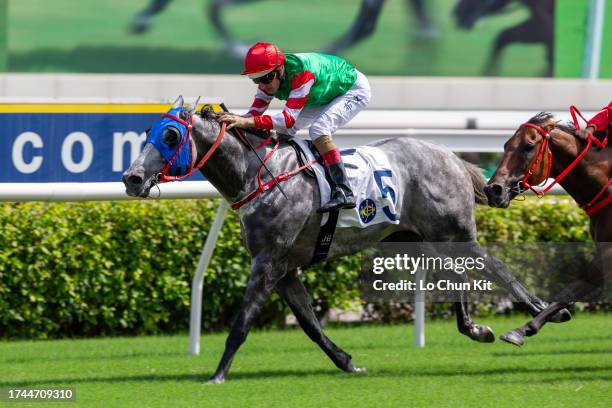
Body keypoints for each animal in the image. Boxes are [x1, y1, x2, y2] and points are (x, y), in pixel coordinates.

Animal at [123, 97, 568, 384]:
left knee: (496, 267)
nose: (131, 178)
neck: (260, 175)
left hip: (451, 232)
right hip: (415, 237)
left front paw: (216, 375)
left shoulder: (267, 261)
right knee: (457, 277)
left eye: (170, 136)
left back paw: (542, 312)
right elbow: (309, 324)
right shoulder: (284, 268)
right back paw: (477, 328)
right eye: (147, 131)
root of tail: (453, 157)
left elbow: (242, 322)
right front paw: (348, 362)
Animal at [486, 112, 608, 348]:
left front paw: (521, 329)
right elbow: (575, 287)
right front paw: (524, 328)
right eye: (505, 145)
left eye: (528, 146)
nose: (492, 190)